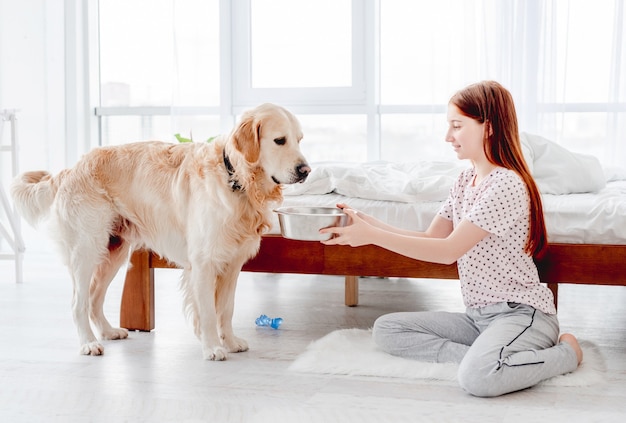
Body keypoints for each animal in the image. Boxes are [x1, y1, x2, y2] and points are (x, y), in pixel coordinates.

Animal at [11, 103, 308, 362]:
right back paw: (88, 343)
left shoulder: (232, 263)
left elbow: (226, 309)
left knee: (94, 298)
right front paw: (212, 347)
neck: (235, 179)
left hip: (114, 251)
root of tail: (72, 168)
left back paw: (108, 332)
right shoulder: (204, 263)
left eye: (299, 140)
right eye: (279, 140)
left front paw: (231, 342)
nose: (305, 170)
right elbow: (208, 312)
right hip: (86, 250)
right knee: (78, 303)